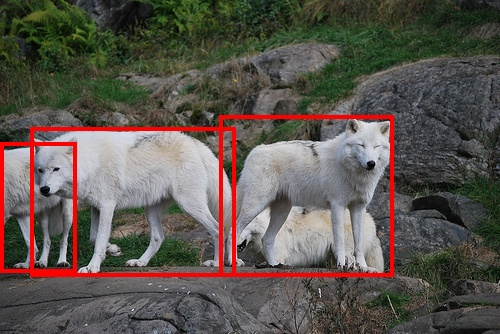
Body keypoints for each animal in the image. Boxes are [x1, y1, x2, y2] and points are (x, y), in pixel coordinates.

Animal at [34, 131, 231, 274]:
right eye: (40, 170)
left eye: (56, 169)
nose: (44, 189)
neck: (91, 160)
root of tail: (196, 143)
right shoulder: (96, 207)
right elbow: (93, 238)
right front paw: (112, 249)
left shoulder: (107, 206)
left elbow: (98, 240)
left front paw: (92, 267)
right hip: (151, 210)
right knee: (159, 237)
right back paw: (140, 262)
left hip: (189, 204)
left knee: (217, 228)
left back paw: (216, 263)